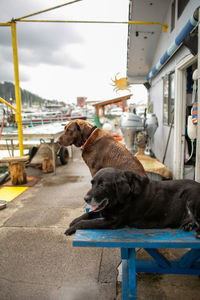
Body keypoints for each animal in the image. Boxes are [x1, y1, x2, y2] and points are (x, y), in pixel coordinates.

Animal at [65, 168, 200, 238]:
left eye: (102, 185)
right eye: (92, 183)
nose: (85, 198)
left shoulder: (112, 222)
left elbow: (85, 222)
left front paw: (72, 228)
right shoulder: (105, 211)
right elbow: (88, 214)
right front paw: (74, 220)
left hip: (190, 199)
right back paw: (188, 224)